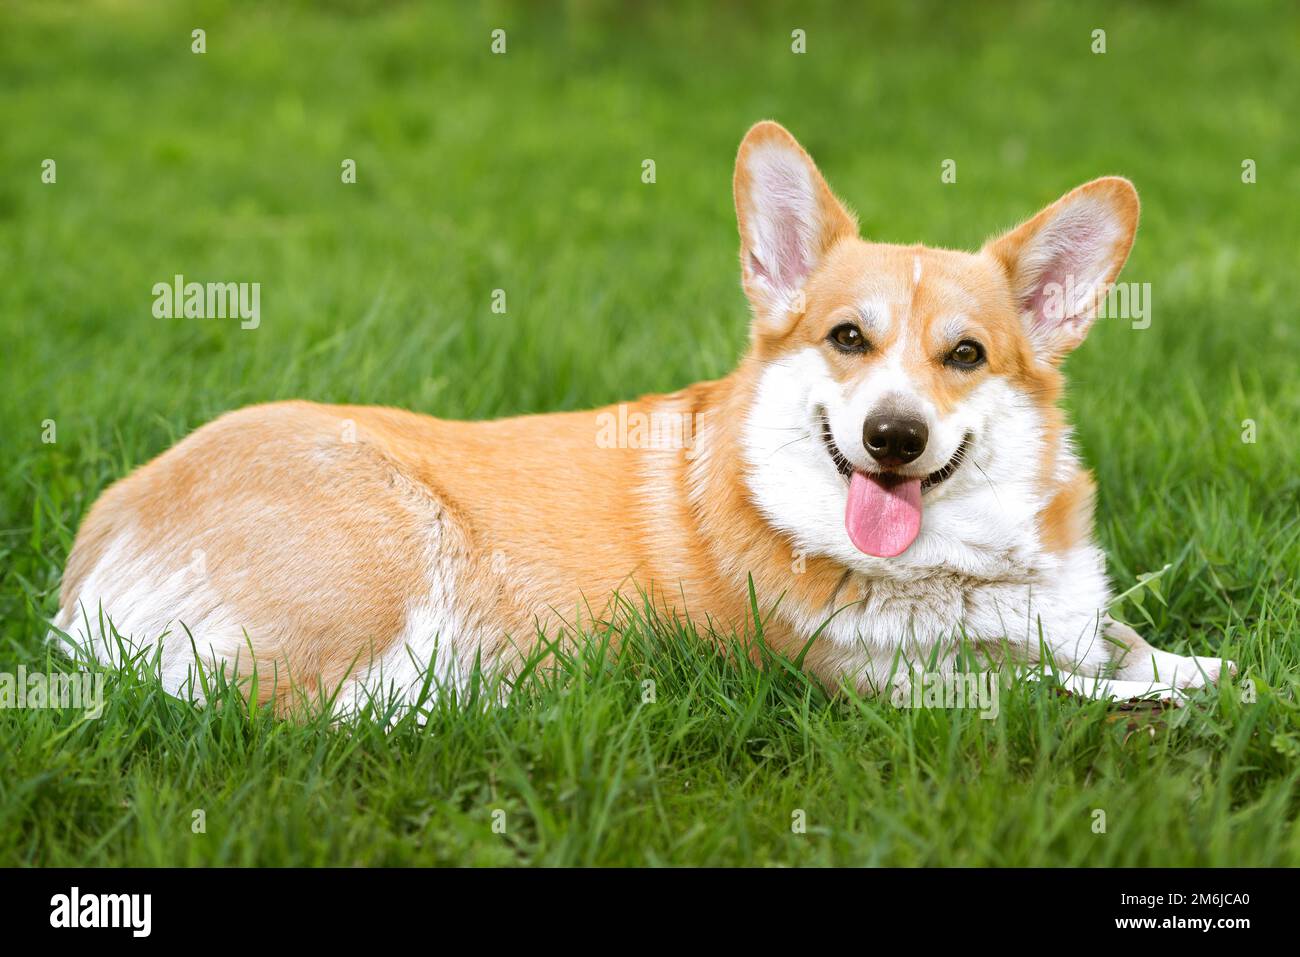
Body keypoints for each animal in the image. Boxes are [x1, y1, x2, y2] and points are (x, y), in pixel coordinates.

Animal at [48, 121, 1227, 712]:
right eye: (848, 339)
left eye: (965, 356)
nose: (893, 437)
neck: (949, 564)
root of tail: (99, 537)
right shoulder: (881, 684)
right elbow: (1038, 684)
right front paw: (1174, 694)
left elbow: (1122, 644)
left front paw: (1206, 672)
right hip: (378, 548)